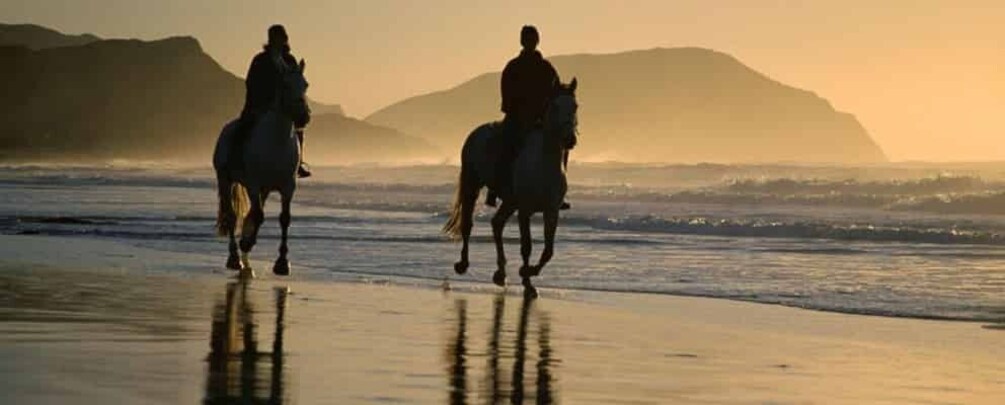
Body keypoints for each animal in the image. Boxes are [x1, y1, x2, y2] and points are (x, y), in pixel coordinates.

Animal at [211, 58, 305, 277]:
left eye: (306, 85)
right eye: (286, 85)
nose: (304, 116)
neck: (276, 142)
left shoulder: (288, 186)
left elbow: (284, 218)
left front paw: (282, 262)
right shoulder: (254, 183)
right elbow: (259, 215)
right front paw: (246, 244)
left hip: (265, 189)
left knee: (251, 214)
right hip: (225, 179)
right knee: (232, 216)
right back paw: (235, 258)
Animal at [442, 78, 578, 297]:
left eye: (575, 106)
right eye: (555, 106)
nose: (569, 139)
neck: (543, 165)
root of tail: (476, 133)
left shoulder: (551, 211)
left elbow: (548, 250)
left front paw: (529, 273)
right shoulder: (524, 210)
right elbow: (527, 246)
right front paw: (526, 277)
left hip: (509, 201)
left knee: (497, 223)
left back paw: (500, 273)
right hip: (473, 185)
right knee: (468, 224)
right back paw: (463, 264)